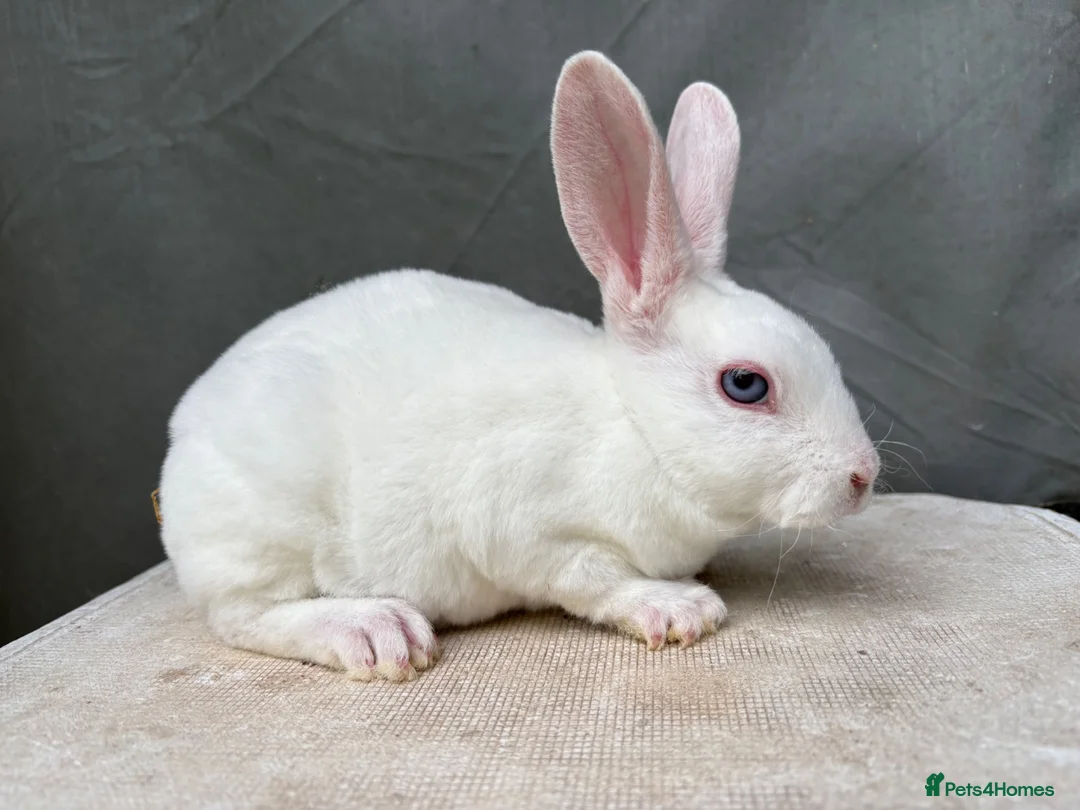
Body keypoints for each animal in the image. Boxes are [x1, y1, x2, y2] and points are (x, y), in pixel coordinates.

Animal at [159, 50, 880, 682]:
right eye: (746, 385)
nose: (864, 476)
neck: (635, 427)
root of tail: (182, 438)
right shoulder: (534, 532)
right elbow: (594, 579)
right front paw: (678, 607)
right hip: (264, 533)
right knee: (245, 616)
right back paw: (374, 630)